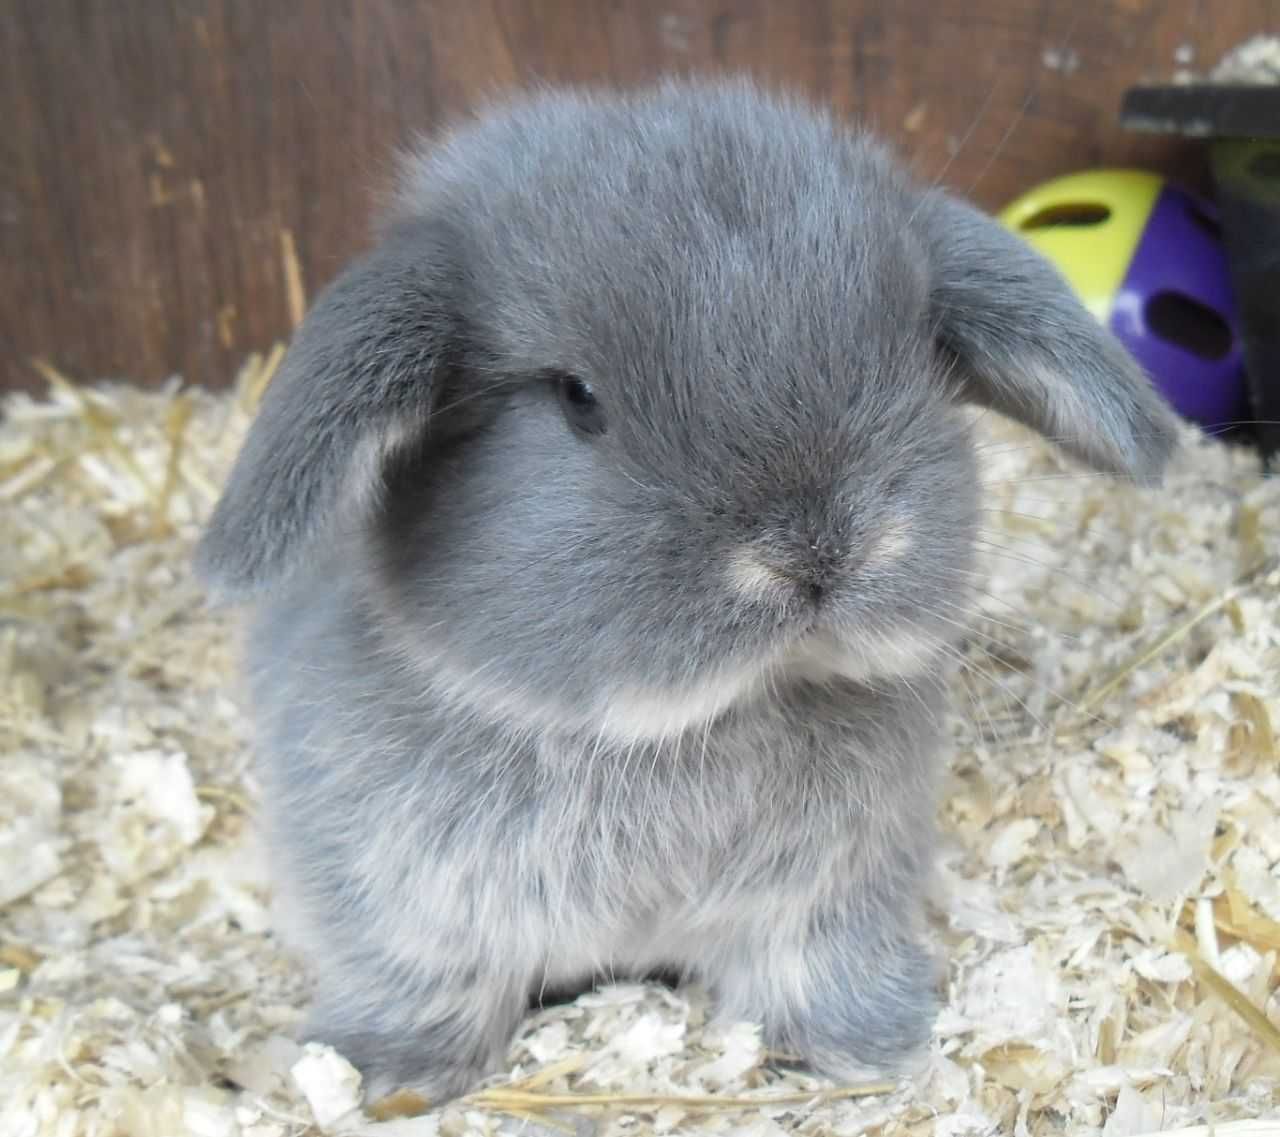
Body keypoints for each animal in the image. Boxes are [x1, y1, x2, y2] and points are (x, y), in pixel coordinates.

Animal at [197, 77, 1177, 1101]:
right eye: (576, 396)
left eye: (918, 349)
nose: (820, 550)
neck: (685, 731)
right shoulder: (400, 908)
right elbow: (424, 981)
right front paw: (388, 1077)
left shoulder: (825, 904)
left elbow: (815, 969)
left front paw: (868, 1050)